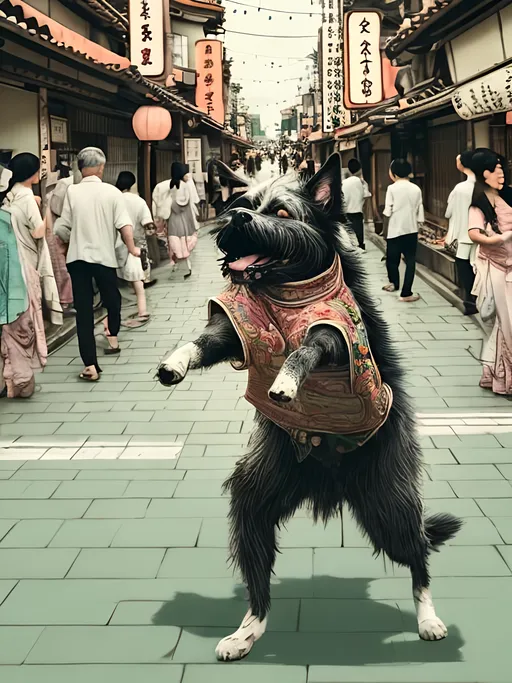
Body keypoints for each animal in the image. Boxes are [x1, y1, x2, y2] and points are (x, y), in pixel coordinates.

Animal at [156, 154, 460, 664]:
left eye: (281, 212)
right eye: (239, 205)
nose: (238, 219)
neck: (284, 291)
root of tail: (328, 486)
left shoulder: (336, 333)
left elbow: (306, 349)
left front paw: (285, 381)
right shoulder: (239, 328)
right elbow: (204, 341)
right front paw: (174, 363)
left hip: (388, 501)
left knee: (418, 553)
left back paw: (429, 618)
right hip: (258, 495)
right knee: (257, 570)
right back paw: (247, 631)